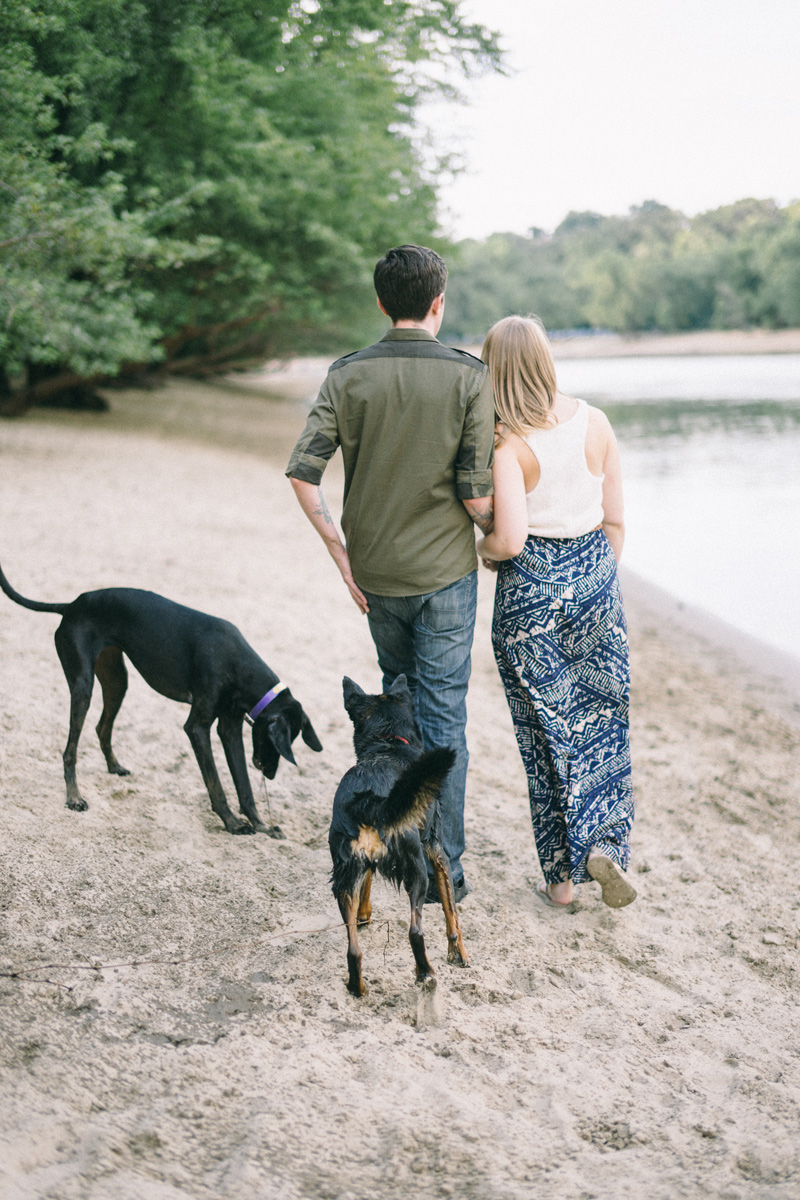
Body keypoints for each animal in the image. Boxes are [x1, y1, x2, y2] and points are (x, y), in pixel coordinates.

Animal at [3, 561, 321, 835]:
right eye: (277, 743)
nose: (270, 774)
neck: (238, 663)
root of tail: (72, 605)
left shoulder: (229, 728)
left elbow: (244, 786)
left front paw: (261, 825)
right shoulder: (197, 728)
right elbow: (216, 784)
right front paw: (232, 823)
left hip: (117, 682)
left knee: (102, 727)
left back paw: (114, 767)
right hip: (83, 686)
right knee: (70, 750)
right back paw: (74, 798)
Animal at [331, 681, 472, 998]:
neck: (389, 743)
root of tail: (371, 801)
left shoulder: (366, 863)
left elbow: (368, 884)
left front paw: (365, 914)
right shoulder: (437, 853)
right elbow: (452, 914)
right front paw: (459, 955)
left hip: (345, 876)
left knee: (353, 950)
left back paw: (357, 988)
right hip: (416, 869)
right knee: (415, 931)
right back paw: (426, 975)